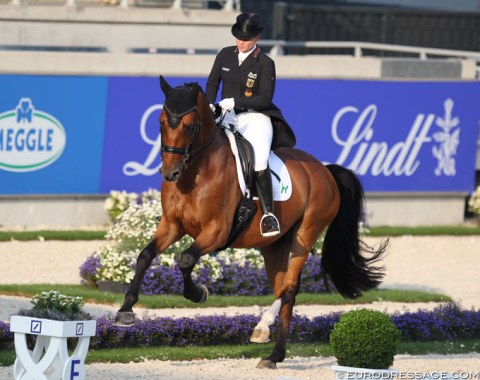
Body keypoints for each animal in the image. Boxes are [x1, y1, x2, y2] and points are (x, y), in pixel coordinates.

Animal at [114, 75, 388, 370]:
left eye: (189, 126)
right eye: (162, 122)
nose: (169, 173)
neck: (196, 172)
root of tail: (324, 170)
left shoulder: (217, 231)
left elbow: (186, 259)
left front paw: (198, 293)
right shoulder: (172, 225)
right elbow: (145, 256)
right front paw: (126, 310)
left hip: (306, 234)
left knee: (289, 288)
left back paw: (264, 332)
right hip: (274, 246)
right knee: (283, 289)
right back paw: (273, 351)